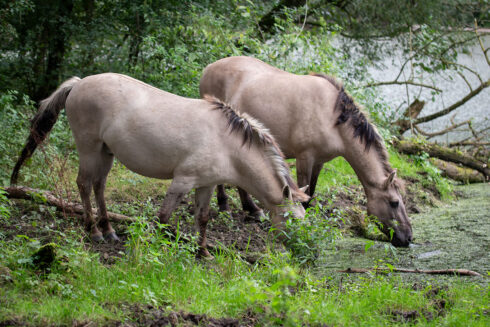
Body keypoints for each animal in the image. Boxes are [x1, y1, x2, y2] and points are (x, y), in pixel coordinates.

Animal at [10, 73, 306, 258]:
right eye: (292, 220)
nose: (300, 248)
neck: (226, 143)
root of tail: (79, 84)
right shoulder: (182, 181)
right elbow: (164, 217)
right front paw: (158, 247)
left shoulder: (207, 185)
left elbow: (203, 218)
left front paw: (203, 252)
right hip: (89, 149)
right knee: (83, 184)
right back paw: (93, 231)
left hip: (106, 153)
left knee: (98, 186)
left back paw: (109, 230)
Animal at [200, 56, 414, 247]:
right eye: (394, 202)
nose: (408, 238)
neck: (333, 120)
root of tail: (209, 67)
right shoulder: (305, 158)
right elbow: (305, 194)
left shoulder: (319, 161)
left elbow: (311, 191)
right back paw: (226, 206)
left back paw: (252, 210)